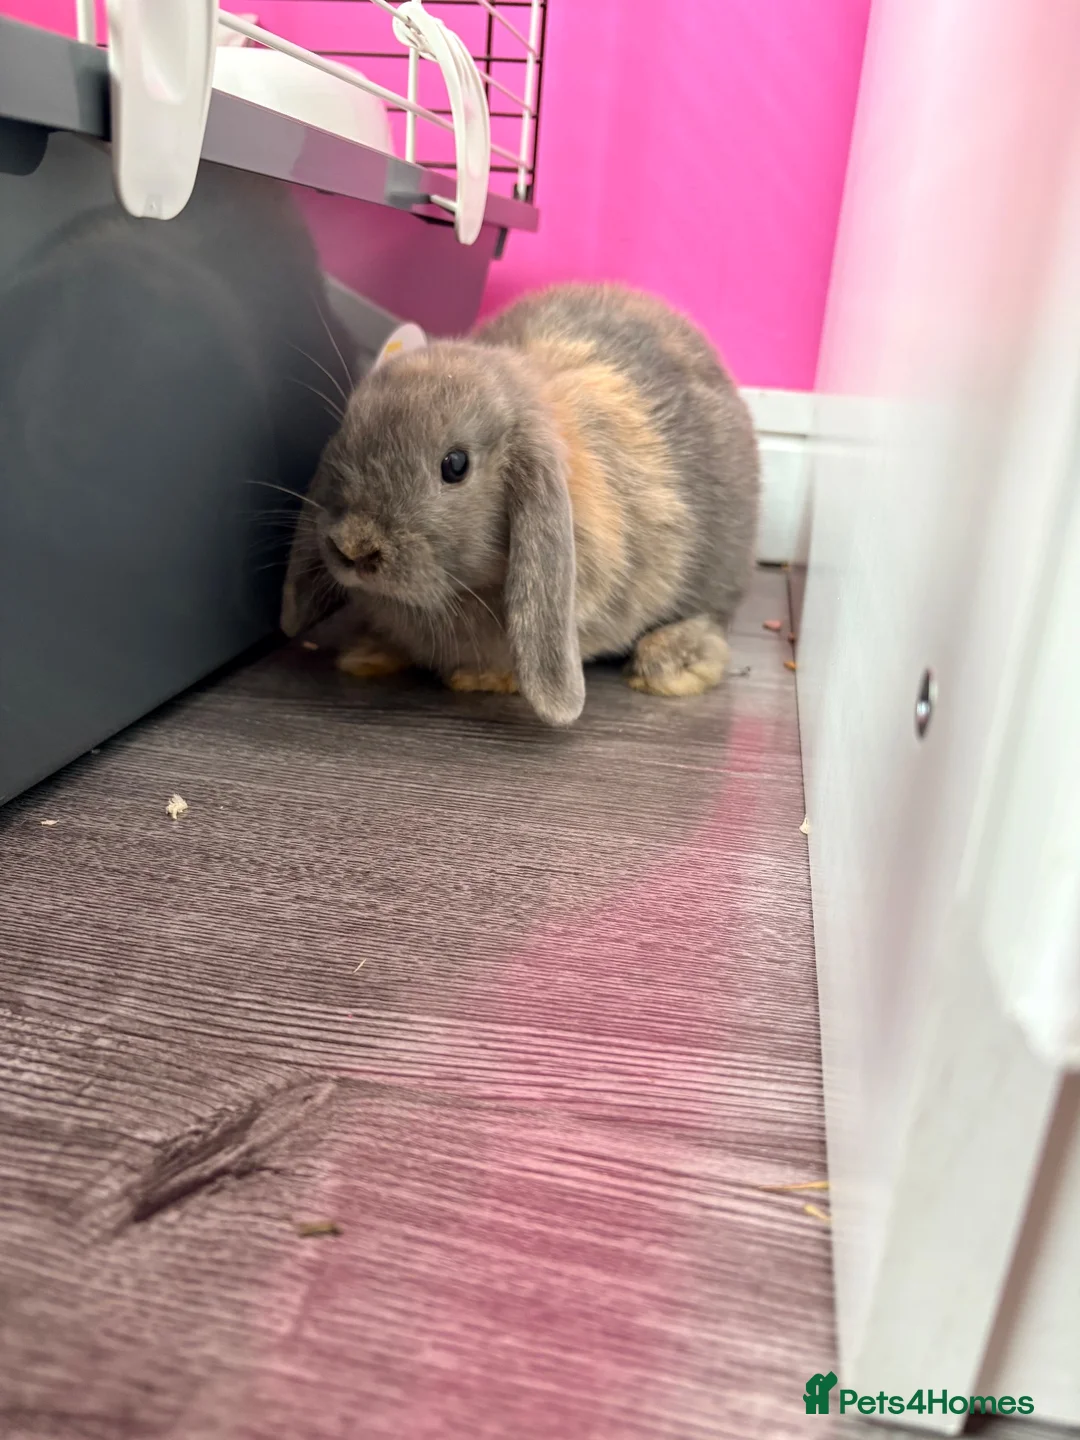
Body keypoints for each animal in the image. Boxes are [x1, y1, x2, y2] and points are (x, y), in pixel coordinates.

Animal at [281, 283, 760, 726]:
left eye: (455, 465)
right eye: (346, 435)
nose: (354, 546)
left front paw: (482, 678)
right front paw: (366, 654)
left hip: (719, 572)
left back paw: (668, 666)